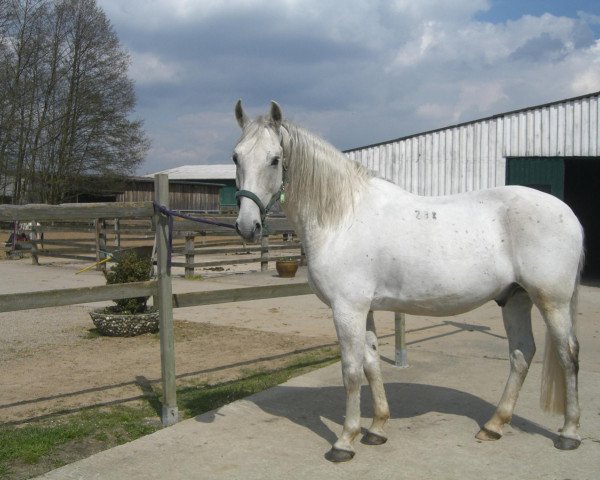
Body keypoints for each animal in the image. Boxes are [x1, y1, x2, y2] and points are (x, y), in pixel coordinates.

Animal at [232, 100, 584, 462]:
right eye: (236, 157)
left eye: (275, 159)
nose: (247, 226)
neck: (342, 216)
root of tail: (568, 213)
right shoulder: (365, 309)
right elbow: (372, 364)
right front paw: (376, 429)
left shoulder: (347, 309)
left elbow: (351, 371)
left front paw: (345, 441)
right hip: (515, 298)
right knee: (521, 353)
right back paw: (494, 425)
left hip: (551, 302)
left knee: (568, 354)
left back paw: (568, 433)